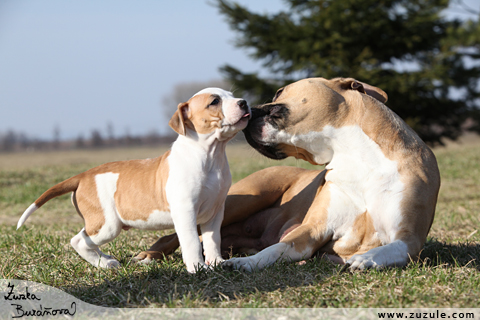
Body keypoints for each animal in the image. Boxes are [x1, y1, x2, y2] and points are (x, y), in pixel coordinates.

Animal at [17, 87, 251, 272]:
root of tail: (83, 175)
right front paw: (197, 268)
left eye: (232, 95)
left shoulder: (215, 211)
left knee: (86, 239)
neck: (210, 154)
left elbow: (212, 240)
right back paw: (104, 264)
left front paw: (216, 263)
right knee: (79, 241)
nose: (243, 102)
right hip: (108, 224)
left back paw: (106, 259)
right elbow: (192, 241)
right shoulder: (185, 211)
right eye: (214, 101)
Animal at [137, 78, 440, 272]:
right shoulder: (312, 229)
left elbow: (392, 248)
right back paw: (149, 255)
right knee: (175, 236)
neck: (357, 156)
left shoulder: (410, 239)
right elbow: (275, 250)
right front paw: (244, 264)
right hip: (241, 200)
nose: (249, 108)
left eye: (279, 92)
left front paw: (367, 258)